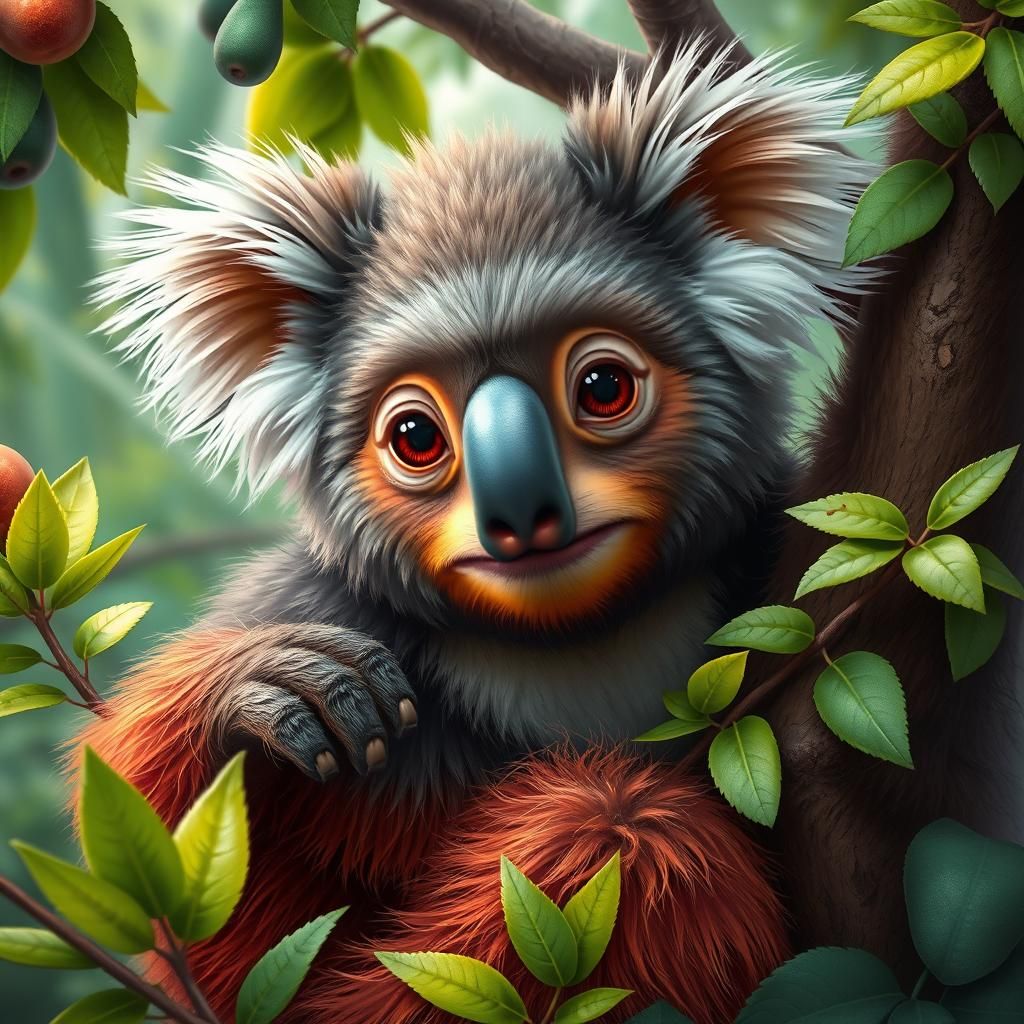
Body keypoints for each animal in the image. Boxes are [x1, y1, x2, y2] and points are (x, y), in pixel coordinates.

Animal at [76, 43, 873, 1024]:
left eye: (604, 386)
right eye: (415, 436)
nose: (521, 513)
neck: (574, 640)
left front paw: (600, 832)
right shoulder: (325, 615)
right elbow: (220, 943)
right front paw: (263, 686)